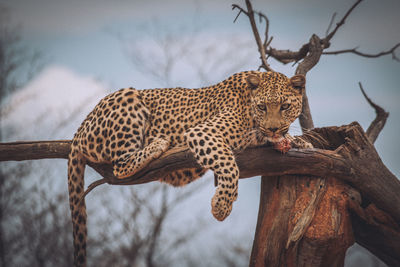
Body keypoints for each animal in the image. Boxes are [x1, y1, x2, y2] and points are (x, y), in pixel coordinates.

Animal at [68, 70, 306, 266]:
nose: (273, 128)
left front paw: (298, 142)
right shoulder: (202, 132)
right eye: (262, 107)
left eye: (285, 106)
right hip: (128, 97)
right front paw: (222, 206)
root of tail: (80, 128)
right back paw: (158, 144)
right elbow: (229, 165)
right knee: (120, 164)